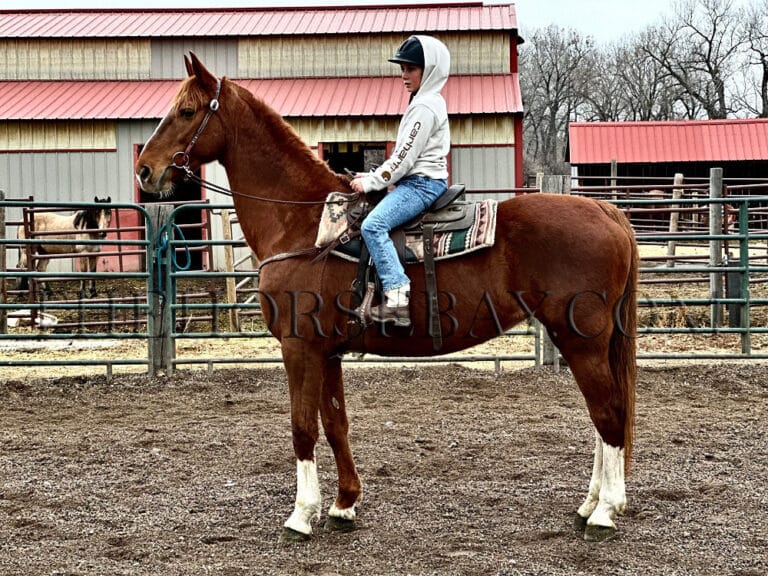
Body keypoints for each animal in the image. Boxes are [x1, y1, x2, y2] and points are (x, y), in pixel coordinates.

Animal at [135, 53, 639, 543]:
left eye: (186, 111)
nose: (145, 170)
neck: (305, 226)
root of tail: (605, 209)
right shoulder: (327, 353)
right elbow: (335, 425)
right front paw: (343, 505)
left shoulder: (299, 349)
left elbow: (302, 428)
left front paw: (301, 514)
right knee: (602, 418)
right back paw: (590, 504)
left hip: (581, 339)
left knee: (608, 414)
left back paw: (604, 512)